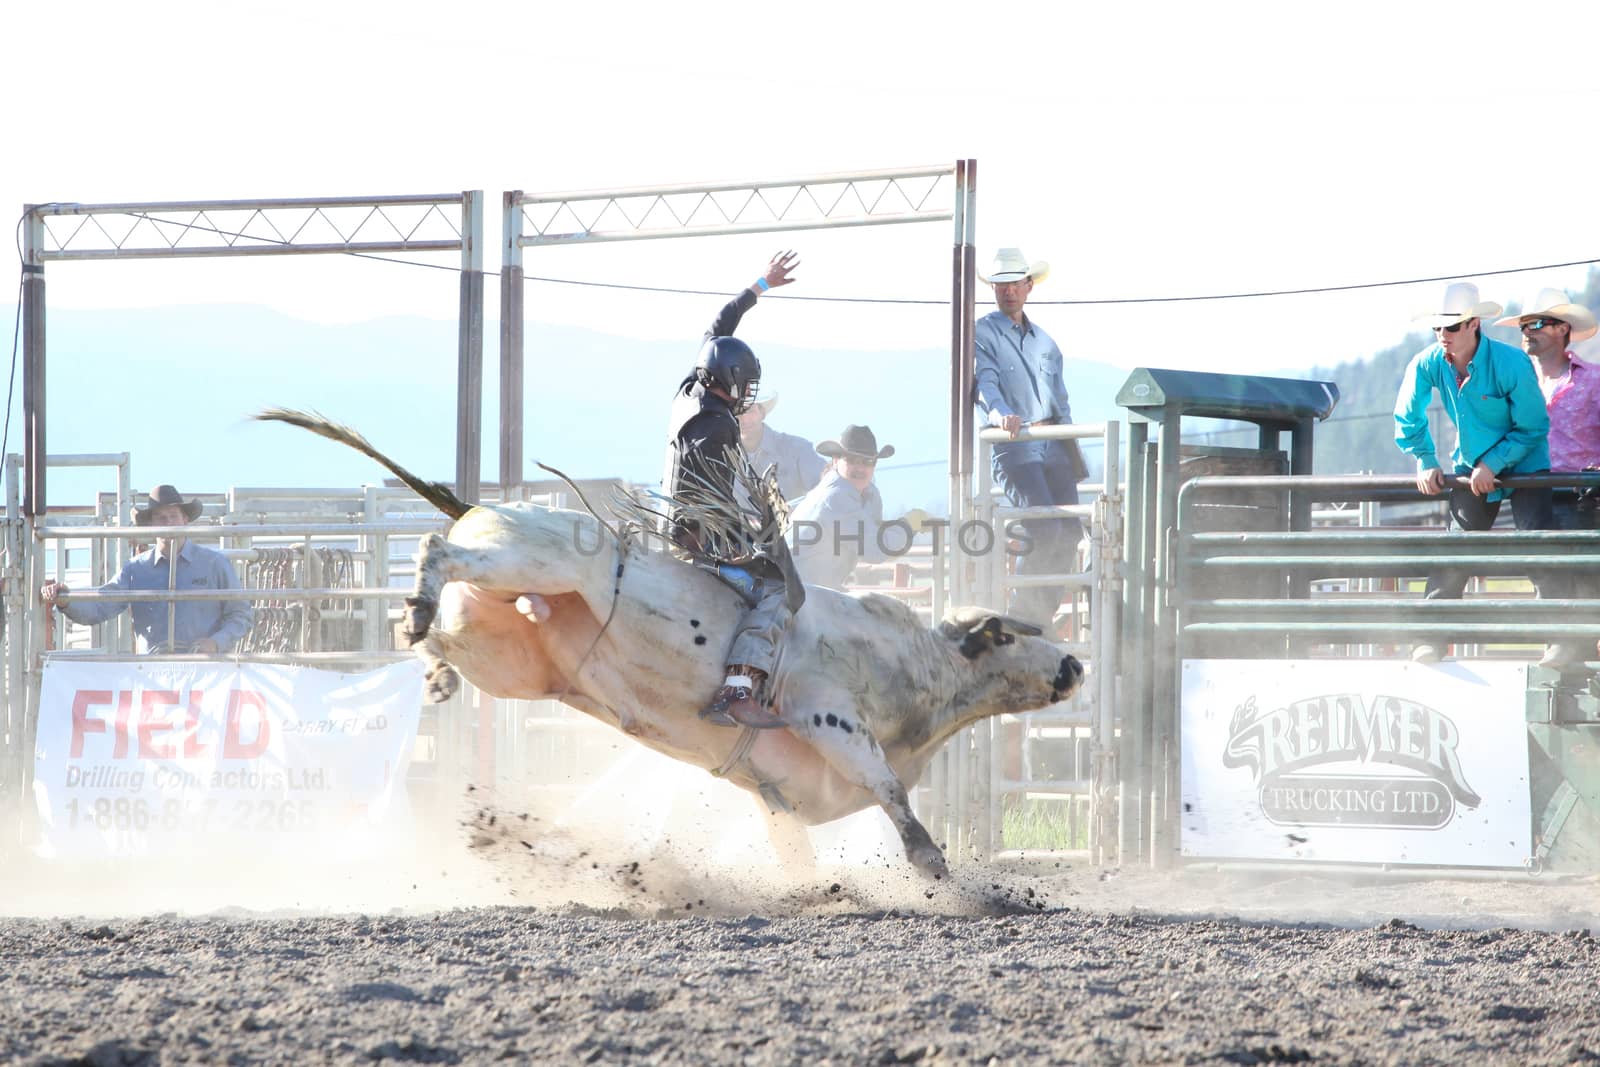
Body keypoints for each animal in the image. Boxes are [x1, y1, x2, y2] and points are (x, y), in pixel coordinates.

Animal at [265, 409, 1088, 876]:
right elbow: (890, 790)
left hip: (500, 651)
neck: (914, 668)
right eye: (1009, 634)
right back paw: (415, 603)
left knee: (447, 626)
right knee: (439, 550)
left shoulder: (777, 793)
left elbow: (797, 845)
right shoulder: (828, 716)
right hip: (527, 560)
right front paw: (932, 863)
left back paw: (429, 660)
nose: (1075, 662)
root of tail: (480, 505)